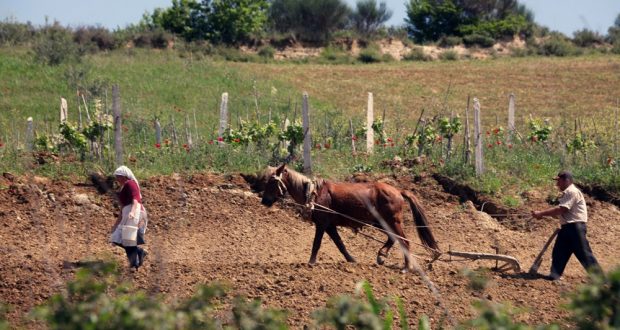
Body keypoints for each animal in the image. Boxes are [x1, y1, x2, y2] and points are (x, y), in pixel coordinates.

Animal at [260, 164, 438, 270]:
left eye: (272, 182)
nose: (264, 201)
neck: (314, 194)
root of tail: (398, 191)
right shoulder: (329, 226)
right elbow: (340, 244)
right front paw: (351, 259)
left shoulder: (322, 224)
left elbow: (316, 244)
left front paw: (310, 263)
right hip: (381, 223)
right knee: (393, 238)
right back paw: (382, 255)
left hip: (393, 221)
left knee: (404, 241)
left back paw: (406, 267)